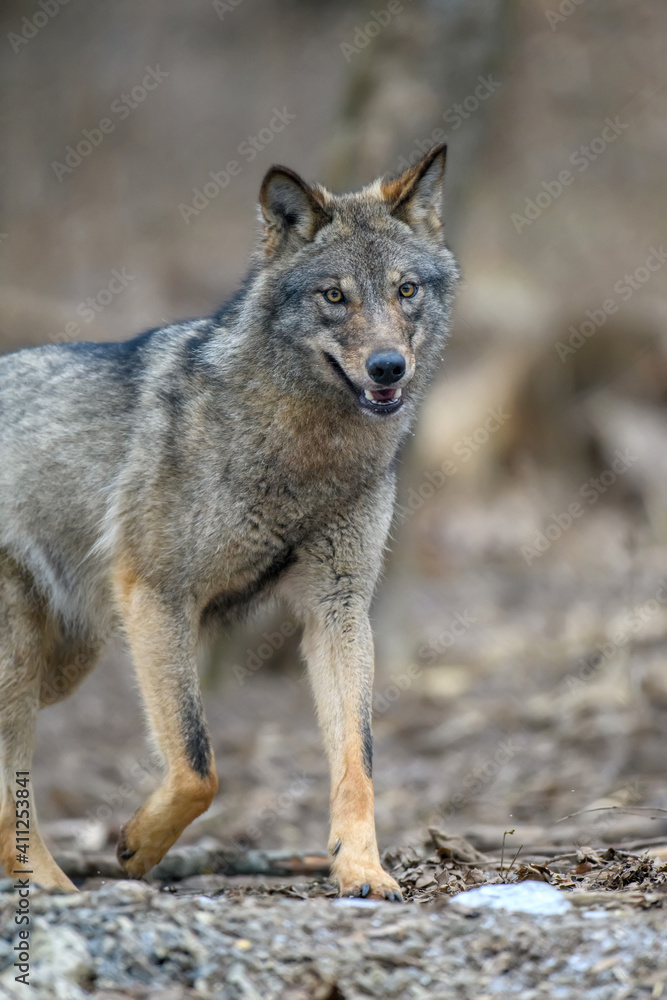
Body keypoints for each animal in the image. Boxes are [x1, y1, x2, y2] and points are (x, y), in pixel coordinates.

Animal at [0, 144, 457, 897]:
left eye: (405, 291)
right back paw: (50, 887)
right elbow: (197, 767)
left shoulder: (337, 607)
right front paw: (138, 847)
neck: (303, 453)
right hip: (27, 656)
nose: (388, 367)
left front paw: (362, 868)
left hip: (64, 664)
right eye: (335, 296)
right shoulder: (158, 598)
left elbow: (356, 760)